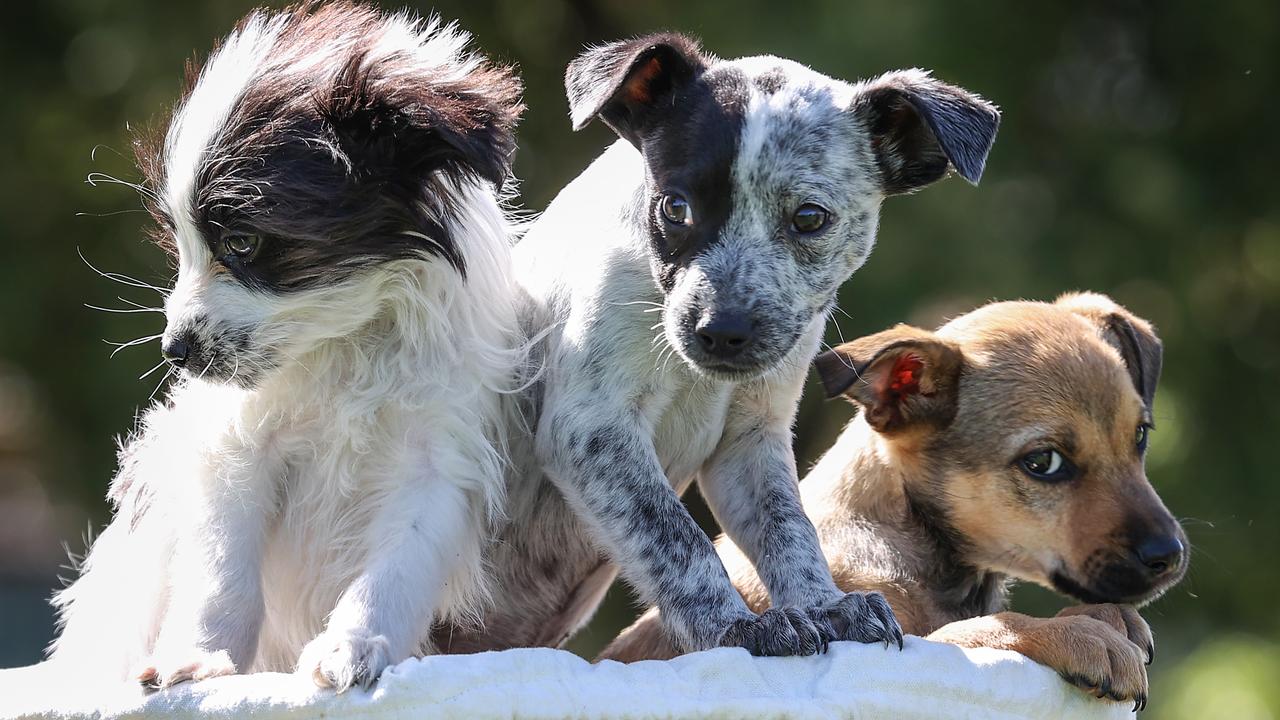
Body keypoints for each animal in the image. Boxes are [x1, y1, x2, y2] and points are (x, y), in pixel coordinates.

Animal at [47, 2, 522, 691]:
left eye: (241, 242)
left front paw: (354, 645)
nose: (173, 350)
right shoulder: (235, 448)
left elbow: (395, 566)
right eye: (181, 246)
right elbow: (222, 572)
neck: (346, 342)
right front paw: (199, 656)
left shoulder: (435, 462)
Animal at [437, 35, 998, 655]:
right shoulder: (592, 429)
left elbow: (790, 531)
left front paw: (827, 608)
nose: (721, 330)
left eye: (809, 218)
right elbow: (677, 539)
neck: (695, 375)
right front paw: (736, 627)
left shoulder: (749, 442)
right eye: (674, 207)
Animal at [604, 289, 1182, 707]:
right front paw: (1084, 634)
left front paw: (1106, 618)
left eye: (1140, 437)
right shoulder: (888, 649)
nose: (1170, 557)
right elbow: (986, 627)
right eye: (1043, 463)